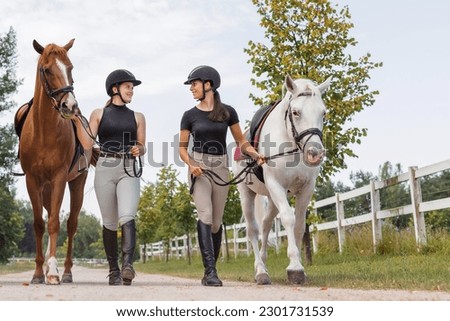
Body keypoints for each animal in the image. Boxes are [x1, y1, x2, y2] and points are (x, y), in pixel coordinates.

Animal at [16, 39, 91, 282]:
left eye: (70, 68)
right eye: (47, 69)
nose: (70, 106)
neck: (44, 131)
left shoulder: (59, 178)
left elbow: (55, 223)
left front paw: (53, 272)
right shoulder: (32, 180)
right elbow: (40, 224)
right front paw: (39, 272)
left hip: (77, 182)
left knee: (71, 224)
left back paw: (65, 271)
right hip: (46, 187)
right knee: (49, 215)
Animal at [234, 75, 328, 284]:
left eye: (323, 113)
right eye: (296, 112)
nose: (315, 153)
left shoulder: (306, 189)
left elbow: (299, 226)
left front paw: (299, 265)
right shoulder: (276, 185)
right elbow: (288, 218)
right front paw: (294, 268)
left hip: (272, 197)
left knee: (266, 224)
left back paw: (263, 262)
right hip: (247, 194)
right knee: (253, 230)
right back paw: (261, 271)